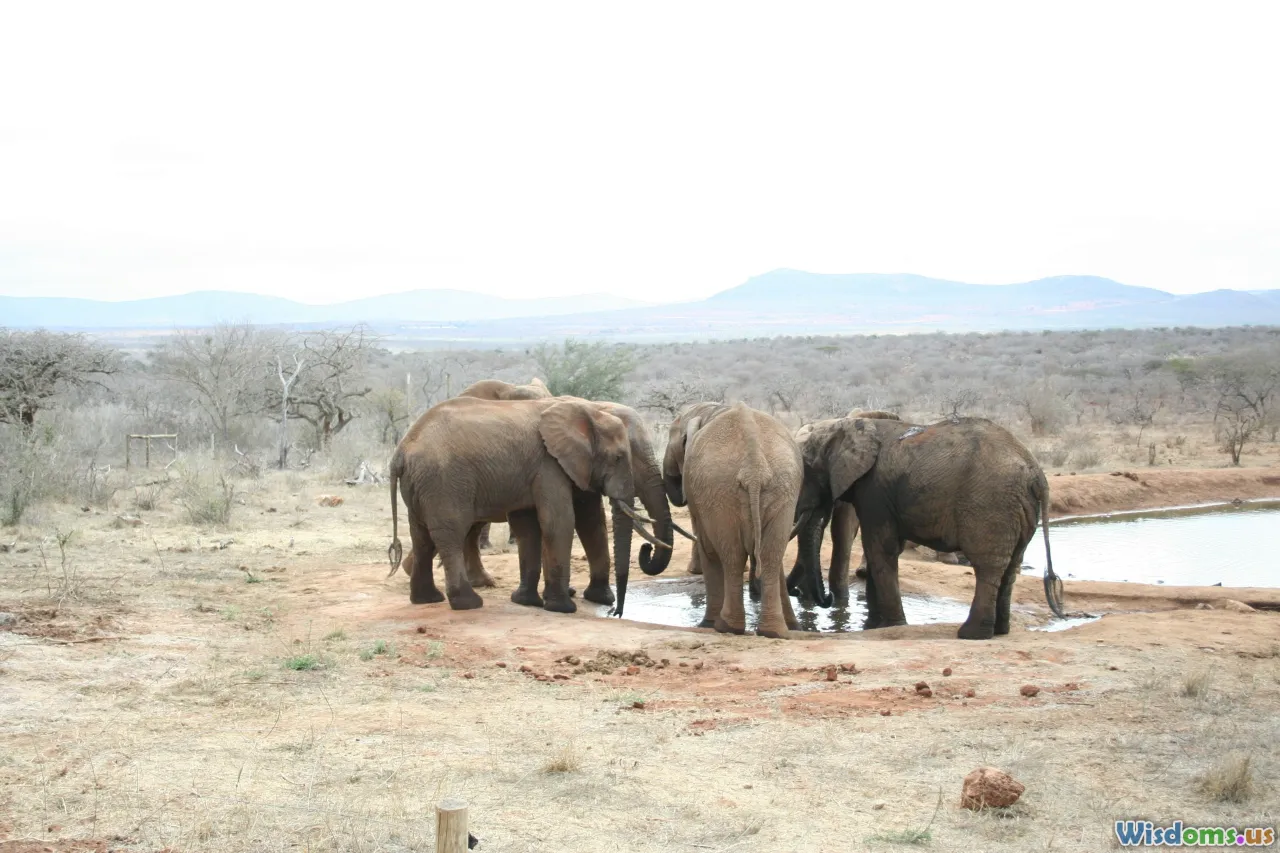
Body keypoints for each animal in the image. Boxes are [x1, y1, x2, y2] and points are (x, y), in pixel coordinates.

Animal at [391, 396, 678, 613]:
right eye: (619, 457)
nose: (616, 611)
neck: (590, 408)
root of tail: (401, 451)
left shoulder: (568, 467)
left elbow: (577, 522)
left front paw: (529, 602)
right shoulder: (549, 464)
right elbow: (560, 521)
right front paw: (563, 607)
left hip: (423, 486)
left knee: (423, 537)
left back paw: (427, 599)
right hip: (444, 482)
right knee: (450, 534)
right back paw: (469, 603)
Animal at [664, 402, 803, 639]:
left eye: (674, 443)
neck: (711, 409)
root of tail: (754, 466)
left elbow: (707, 546)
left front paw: (706, 625)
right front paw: (795, 626)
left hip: (719, 491)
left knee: (730, 555)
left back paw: (724, 626)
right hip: (782, 488)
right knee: (770, 554)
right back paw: (773, 631)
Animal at [792, 415, 1063, 640]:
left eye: (808, 471)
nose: (827, 598)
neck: (844, 425)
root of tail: (1037, 473)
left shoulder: (875, 490)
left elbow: (881, 548)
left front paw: (890, 626)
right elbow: (879, 548)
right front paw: (873, 626)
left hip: (992, 503)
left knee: (988, 567)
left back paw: (972, 634)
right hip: (1020, 509)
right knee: (1011, 566)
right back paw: (1000, 631)